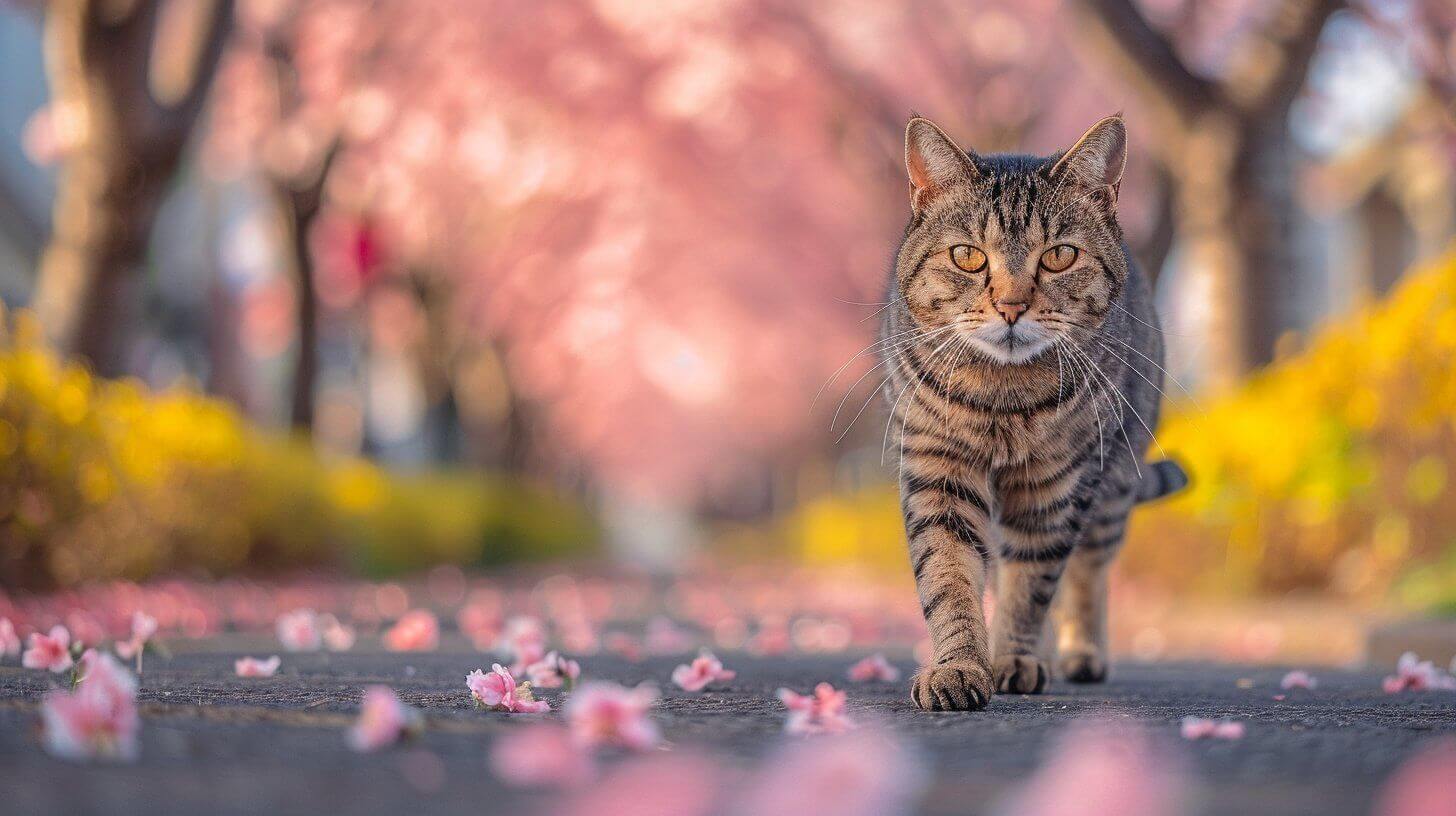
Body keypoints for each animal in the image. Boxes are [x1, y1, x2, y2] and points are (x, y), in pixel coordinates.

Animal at [879, 112, 1188, 708]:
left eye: (1060, 256)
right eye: (968, 256)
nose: (1011, 306)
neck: (1002, 396)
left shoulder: (1055, 487)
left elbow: (1032, 585)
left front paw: (1013, 658)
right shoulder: (939, 471)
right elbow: (948, 576)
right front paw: (959, 666)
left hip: (1112, 487)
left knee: (1086, 572)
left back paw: (1079, 652)